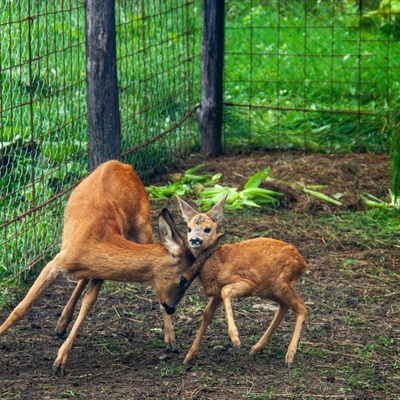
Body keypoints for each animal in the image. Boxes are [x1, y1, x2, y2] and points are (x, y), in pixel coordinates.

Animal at [0, 160, 202, 376]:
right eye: (183, 279)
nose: (172, 308)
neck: (95, 243)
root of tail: (122, 164)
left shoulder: (100, 273)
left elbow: (87, 305)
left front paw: (60, 361)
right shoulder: (55, 262)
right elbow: (21, 308)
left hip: (142, 224)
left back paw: (170, 340)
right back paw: (60, 324)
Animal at [177, 195, 308, 368]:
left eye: (207, 229)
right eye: (188, 228)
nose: (194, 240)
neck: (218, 263)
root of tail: (303, 264)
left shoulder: (248, 281)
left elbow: (226, 291)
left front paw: (236, 340)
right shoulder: (216, 294)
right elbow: (207, 314)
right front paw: (188, 356)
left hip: (281, 282)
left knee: (301, 307)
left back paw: (289, 357)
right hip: (270, 288)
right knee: (285, 305)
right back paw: (257, 348)